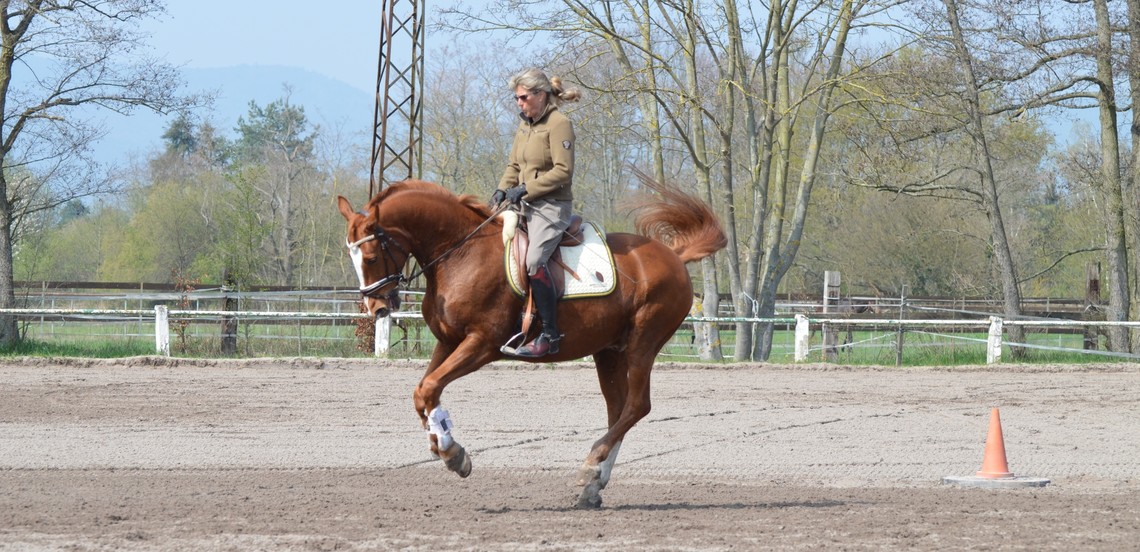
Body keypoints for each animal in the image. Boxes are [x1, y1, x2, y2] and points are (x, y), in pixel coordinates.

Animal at [337, 176, 725, 508]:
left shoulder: (481, 343)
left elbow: (428, 388)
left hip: (643, 344)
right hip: (608, 352)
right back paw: (593, 483)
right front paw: (447, 446)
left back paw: (590, 465)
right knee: (618, 410)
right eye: (352, 257)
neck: (460, 253)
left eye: (370, 257)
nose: (377, 307)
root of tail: (673, 255)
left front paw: (451, 452)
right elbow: (424, 392)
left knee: (637, 406)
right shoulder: (448, 343)